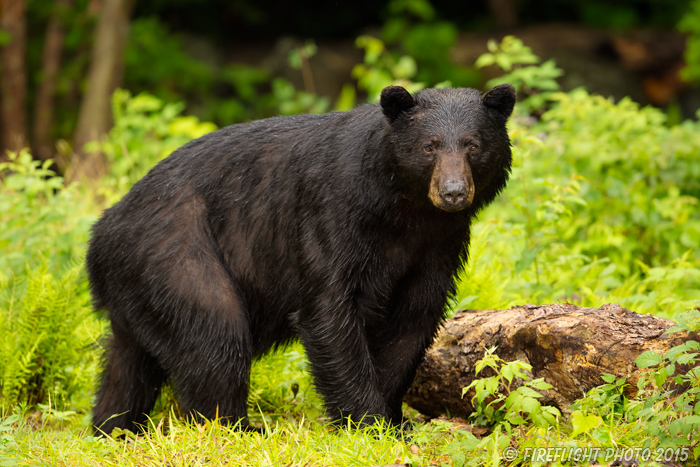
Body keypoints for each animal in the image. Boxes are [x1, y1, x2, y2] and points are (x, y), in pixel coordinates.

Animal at [86, 83, 516, 436]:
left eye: (473, 145)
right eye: (429, 146)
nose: (453, 192)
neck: (405, 212)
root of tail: (101, 232)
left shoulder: (438, 245)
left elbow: (412, 320)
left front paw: (394, 420)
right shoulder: (334, 215)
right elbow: (330, 310)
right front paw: (366, 423)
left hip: (139, 287)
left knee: (128, 365)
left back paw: (113, 427)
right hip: (175, 253)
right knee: (214, 332)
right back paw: (237, 426)